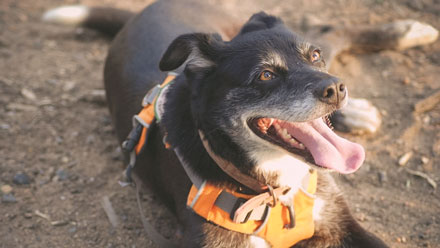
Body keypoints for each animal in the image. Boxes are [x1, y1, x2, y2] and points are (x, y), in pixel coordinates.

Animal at [44, 0, 388, 247]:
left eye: (314, 56)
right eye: (266, 75)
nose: (336, 89)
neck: (271, 188)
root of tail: (141, 12)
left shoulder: (339, 221)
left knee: (331, 31)